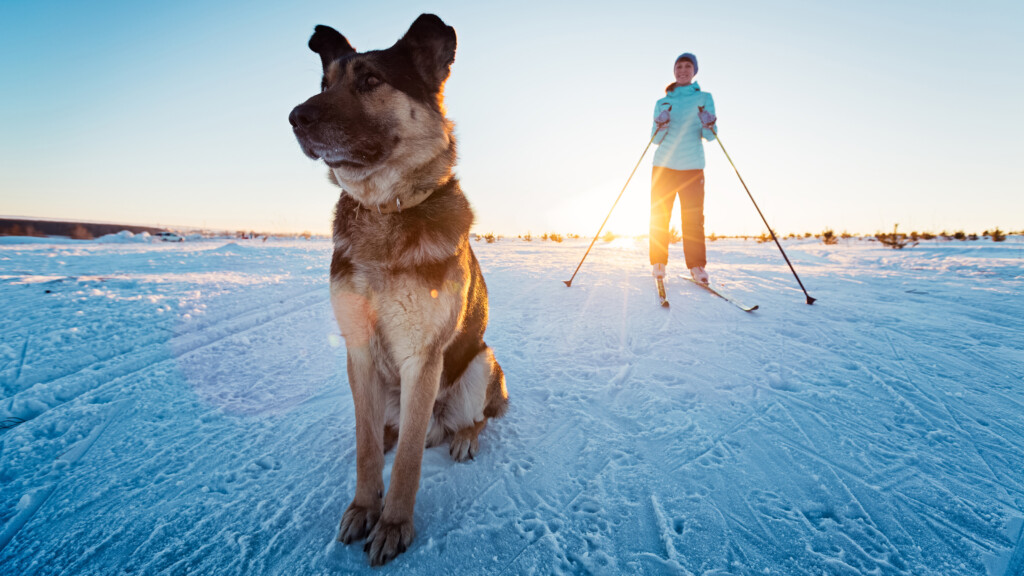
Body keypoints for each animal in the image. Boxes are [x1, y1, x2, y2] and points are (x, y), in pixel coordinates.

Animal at [286, 13, 509, 565]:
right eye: (325, 83)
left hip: (481, 363)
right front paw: (364, 508)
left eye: (370, 81)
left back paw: (464, 438)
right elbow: (366, 447)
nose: (295, 117)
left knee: (472, 419)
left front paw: (393, 524)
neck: (386, 210)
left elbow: (408, 461)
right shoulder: (360, 352)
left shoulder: (421, 358)